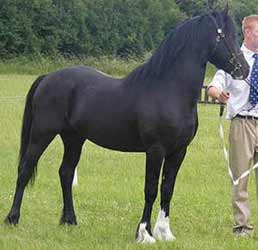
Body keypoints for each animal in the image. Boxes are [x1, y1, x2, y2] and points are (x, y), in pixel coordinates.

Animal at [5, 8, 248, 243]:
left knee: (65, 173)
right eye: (224, 35)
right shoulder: (156, 150)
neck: (168, 90)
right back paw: (12, 218)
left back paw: (70, 220)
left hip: (73, 138)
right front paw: (144, 234)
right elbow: (150, 190)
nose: (243, 70)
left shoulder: (178, 151)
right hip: (42, 134)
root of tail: (47, 77)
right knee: (25, 169)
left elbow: (167, 189)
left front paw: (164, 233)